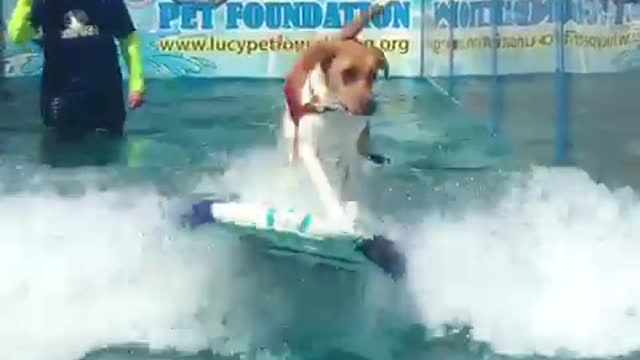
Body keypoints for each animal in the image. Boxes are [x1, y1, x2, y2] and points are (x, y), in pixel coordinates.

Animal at [280, 0, 390, 225]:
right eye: (347, 73)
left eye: (373, 75)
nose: (370, 107)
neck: (334, 112)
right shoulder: (308, 150)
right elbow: (325, 186)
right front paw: (337, 215)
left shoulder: (349, 150)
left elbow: (347, 183)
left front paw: (350, 208)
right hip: (291, 134)